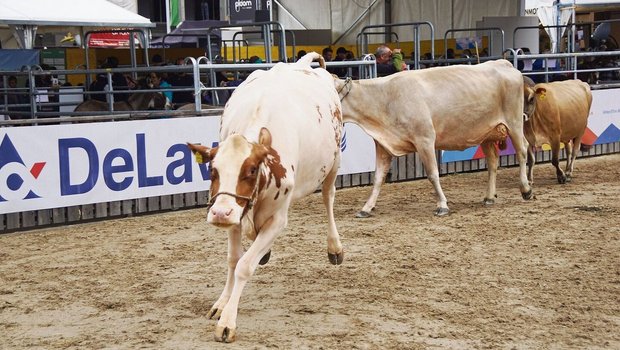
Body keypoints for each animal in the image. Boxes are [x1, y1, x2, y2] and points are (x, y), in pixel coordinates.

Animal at [186, 52, 346, 342]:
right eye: (212, 169)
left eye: (250, 170)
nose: (219, 213)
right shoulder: (237, 213)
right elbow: (233, 260)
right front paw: (222, 303)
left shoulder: (277, 219)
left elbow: (244, 266)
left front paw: (228, 322)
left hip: (334, 161)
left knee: (328, 197)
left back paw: (334, 247)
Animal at [334, 59, 532, 219]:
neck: (385, 98)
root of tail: (503, 63)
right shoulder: (384, 145)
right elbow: (377, 178)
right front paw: (366, 208)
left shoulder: (425, 139)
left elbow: (433, 174)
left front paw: (442, 205)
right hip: (487, 133)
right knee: (492, 161)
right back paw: (489, 197)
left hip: (514, 122)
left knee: (522, 150)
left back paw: (526, 189)